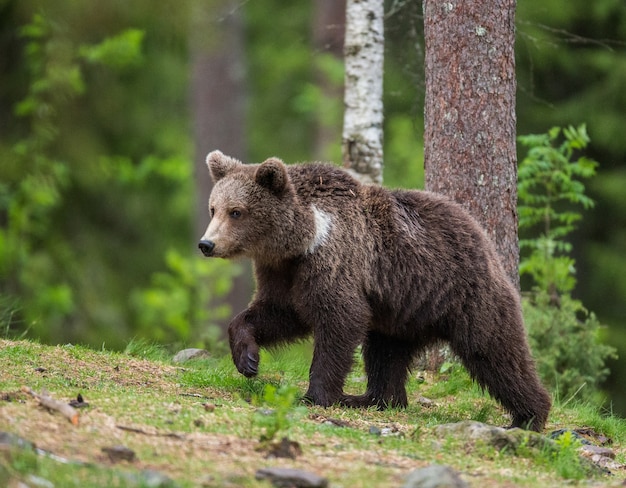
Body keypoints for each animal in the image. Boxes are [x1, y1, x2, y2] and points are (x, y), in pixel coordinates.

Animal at [197, 150, 548, 430]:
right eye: (214, 208)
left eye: (237, 211)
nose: (206, 244)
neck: (303, 238)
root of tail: (482, 235)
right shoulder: (282, 271)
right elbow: (276, 313)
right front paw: (248, 359)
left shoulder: (334, 259)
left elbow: (340, 319)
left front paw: (314, 395)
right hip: (400, 311)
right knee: (385, 352)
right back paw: (374, 398)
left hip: (463, 293)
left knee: (494, 351)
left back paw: (529, 415)